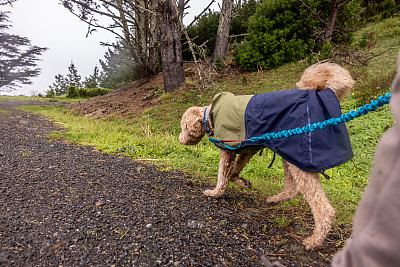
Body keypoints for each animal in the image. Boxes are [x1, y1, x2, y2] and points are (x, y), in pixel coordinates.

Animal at [180, 63, 354, 251]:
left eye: (183, 126)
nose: (180, 140)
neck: (209, 116)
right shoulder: (246, 149)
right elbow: (233, 172)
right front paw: (242, 182)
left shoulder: (227, 149)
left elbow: (222, 176)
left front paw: (215, 193)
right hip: (288, 155)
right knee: (292, 189)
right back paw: (273, 200)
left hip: (299, 158)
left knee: (323, 208)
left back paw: (314, 241)